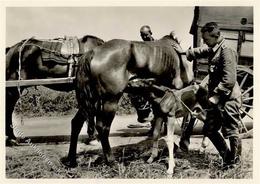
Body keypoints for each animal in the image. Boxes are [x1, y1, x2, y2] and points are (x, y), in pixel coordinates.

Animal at [62, 35, 194, 174]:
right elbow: (189, 114)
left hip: (89, 102)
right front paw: (183, 142)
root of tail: (92, 52)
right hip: (110, 100)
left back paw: (71, 160)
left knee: (76, 123)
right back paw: (111, 161)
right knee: (102, 127)